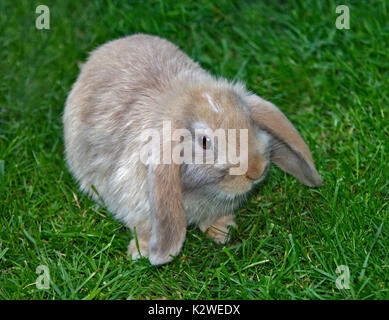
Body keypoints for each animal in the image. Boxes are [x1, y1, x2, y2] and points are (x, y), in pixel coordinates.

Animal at [63, 33, 322, 266]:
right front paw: (143, 252)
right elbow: (143, 228)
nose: (256, 170)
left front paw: (222, 231)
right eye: (205, 141)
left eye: (249, 117)